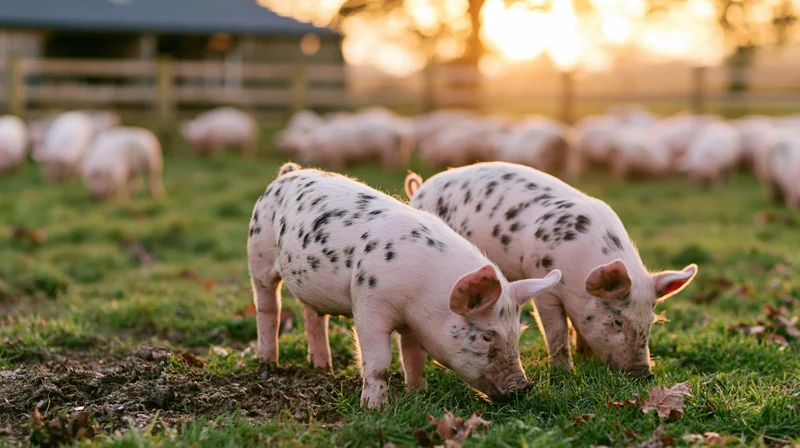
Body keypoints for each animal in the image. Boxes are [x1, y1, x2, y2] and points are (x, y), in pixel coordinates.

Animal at [247, 162, 562, 408]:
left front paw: (418, 395)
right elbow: (379, 362)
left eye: (518, 334)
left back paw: (323, 367)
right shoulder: (368, 306)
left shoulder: (414, 324)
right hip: (258, 253)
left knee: (312, 316)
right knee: (268, 306)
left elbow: (414, 357)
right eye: (486, 336)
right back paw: (268, 363)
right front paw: (374, 408)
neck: (419, 298)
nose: (524, 386)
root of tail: (290, 173)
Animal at [404, 162, 698, 377]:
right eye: (617, 321)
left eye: (651, 320)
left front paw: (584, 354)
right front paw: (566, 371)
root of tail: (421, 188)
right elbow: (556, 328)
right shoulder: (544, 283)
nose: (644, 373)